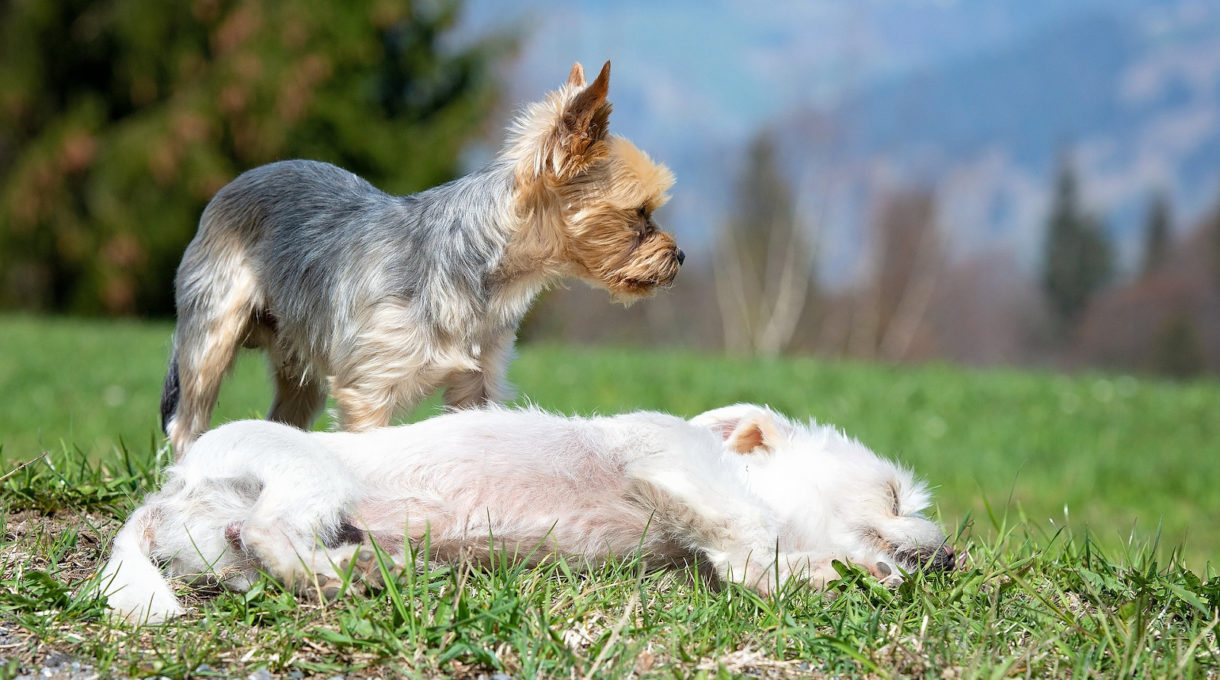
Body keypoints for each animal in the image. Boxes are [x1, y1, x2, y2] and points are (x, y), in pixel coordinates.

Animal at [100, 405, 951, 622]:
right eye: (894, 495)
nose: (951, 559)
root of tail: (171, 489)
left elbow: (754, 559)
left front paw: (838, 572)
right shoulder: (667, 461)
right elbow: (749, 541)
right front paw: (820, 572)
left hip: (222, 545)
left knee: (250, 555)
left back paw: (368, 566)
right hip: (310, 477)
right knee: (268, 530)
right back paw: (346, 573)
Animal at [159, 62, 688, 456]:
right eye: (640, 212)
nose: (680, 255)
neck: (481, 271)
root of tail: (232, 185)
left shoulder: (477, 386)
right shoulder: (368, 391)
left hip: (298, 362)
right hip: (211, 333)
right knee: (187, 422)